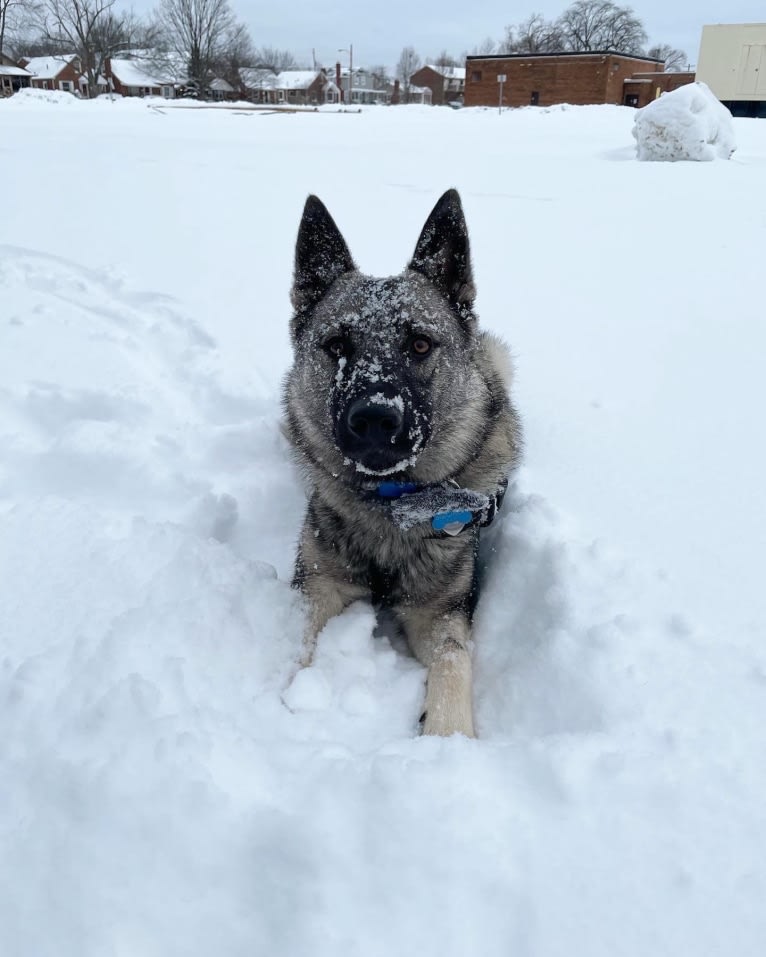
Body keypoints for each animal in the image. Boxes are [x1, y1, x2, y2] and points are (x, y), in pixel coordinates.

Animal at [284, 189, 524, 740]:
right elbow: (301, 645)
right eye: (336, 345)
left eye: (419, 343)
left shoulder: (442, 612)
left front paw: (448, 737)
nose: (375, 417)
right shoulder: (320, 586)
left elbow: (454, 659)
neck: (389, 506)